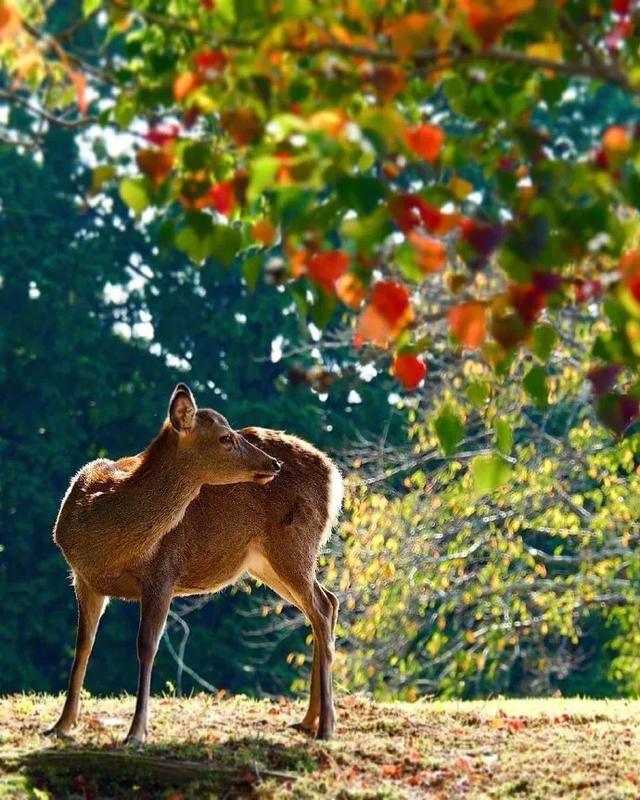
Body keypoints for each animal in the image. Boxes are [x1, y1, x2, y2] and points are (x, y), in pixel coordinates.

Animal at [47, 382, 342, 744]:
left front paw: (137, 732)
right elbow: (82, 646)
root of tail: (335, 477)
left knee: (322, 608)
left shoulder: (163, 573)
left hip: (294, 546)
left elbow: (146, 646)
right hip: (266, 563)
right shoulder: (83, 578)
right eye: (225, 437)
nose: (274, 464)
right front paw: (61, 725)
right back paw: (308, 720)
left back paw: (326, 727)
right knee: (327, 603)